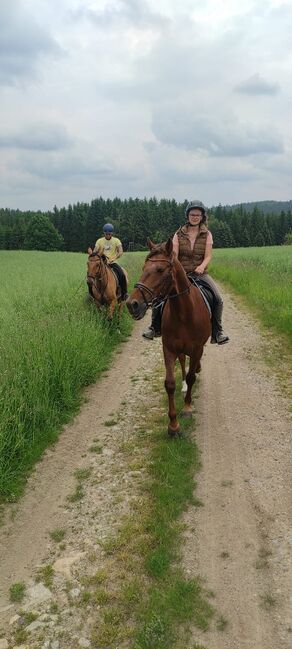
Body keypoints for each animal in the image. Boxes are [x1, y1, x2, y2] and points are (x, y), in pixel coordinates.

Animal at [126, 238, 211, 436]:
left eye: (160, 270)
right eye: (143, 268)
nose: (132, 304)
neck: (184, 312)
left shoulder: (197, 348)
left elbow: (192, 376)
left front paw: (187, 408)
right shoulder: (169, 348)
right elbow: (170, 384)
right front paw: (173, 425)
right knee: (183, 361)